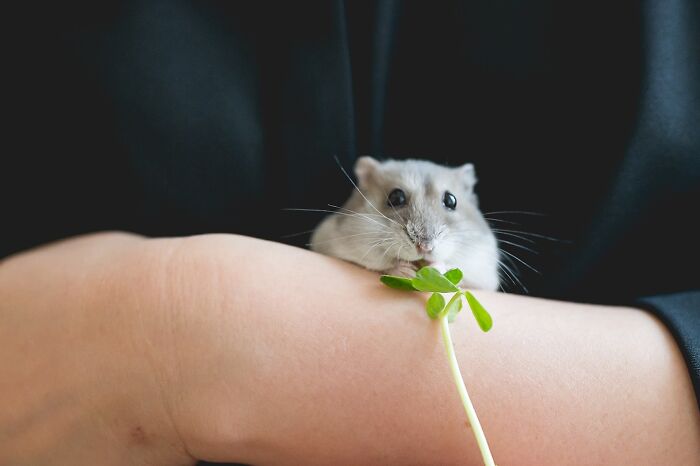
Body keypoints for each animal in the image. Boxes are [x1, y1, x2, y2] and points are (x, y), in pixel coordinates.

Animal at [310, 157, 500, 291]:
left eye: (451, 200)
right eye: (396, 197)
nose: (425, 247)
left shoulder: (483, 272)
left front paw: (436, 268)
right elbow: (382, 263)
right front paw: (406, 271)